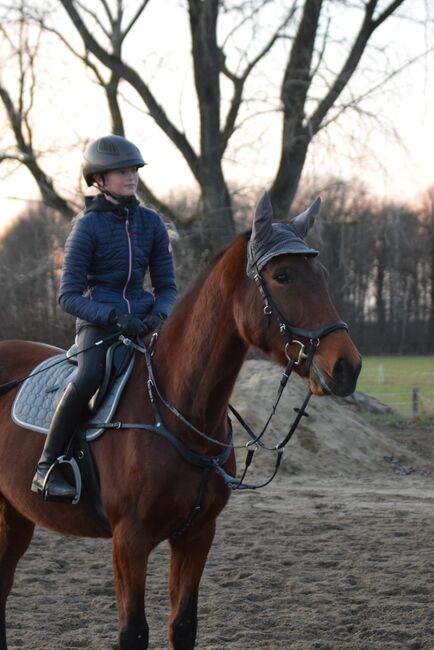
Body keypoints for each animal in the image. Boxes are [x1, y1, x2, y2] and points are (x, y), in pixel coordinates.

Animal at [0, 195, 362, 644]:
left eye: (323, 275)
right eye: (282, 276)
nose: (347, 366)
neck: (175, 411)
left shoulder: (197, 535)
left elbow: (183, 624)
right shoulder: (130, 540)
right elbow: (134, 631)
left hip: (16, 514)